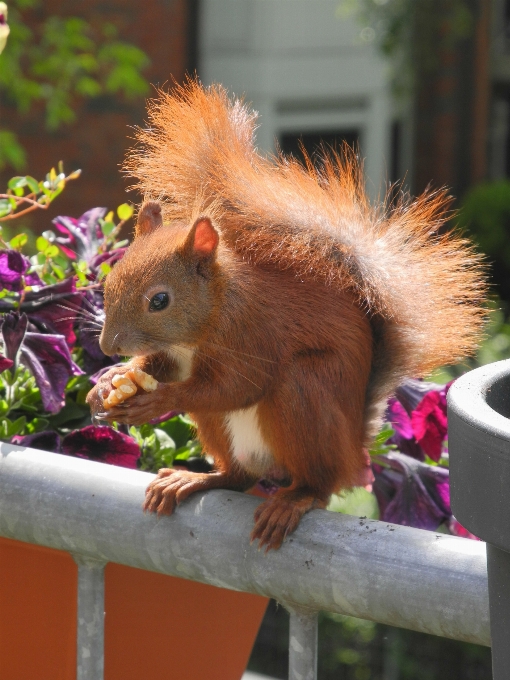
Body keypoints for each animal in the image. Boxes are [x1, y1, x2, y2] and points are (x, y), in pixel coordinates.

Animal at [86, 79, 486, 552]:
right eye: (109, 282)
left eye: (160, 300)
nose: (108, 346)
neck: (210, 314)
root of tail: (352, 449)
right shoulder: (173, 355)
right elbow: (158, 367)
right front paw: (110, 382)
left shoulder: (252, 335)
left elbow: (235, 386)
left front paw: (158, 399)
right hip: (223, 431)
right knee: (238, 477)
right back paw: (194, 480)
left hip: (305, 393)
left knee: (318, 483)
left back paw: (293, 501)